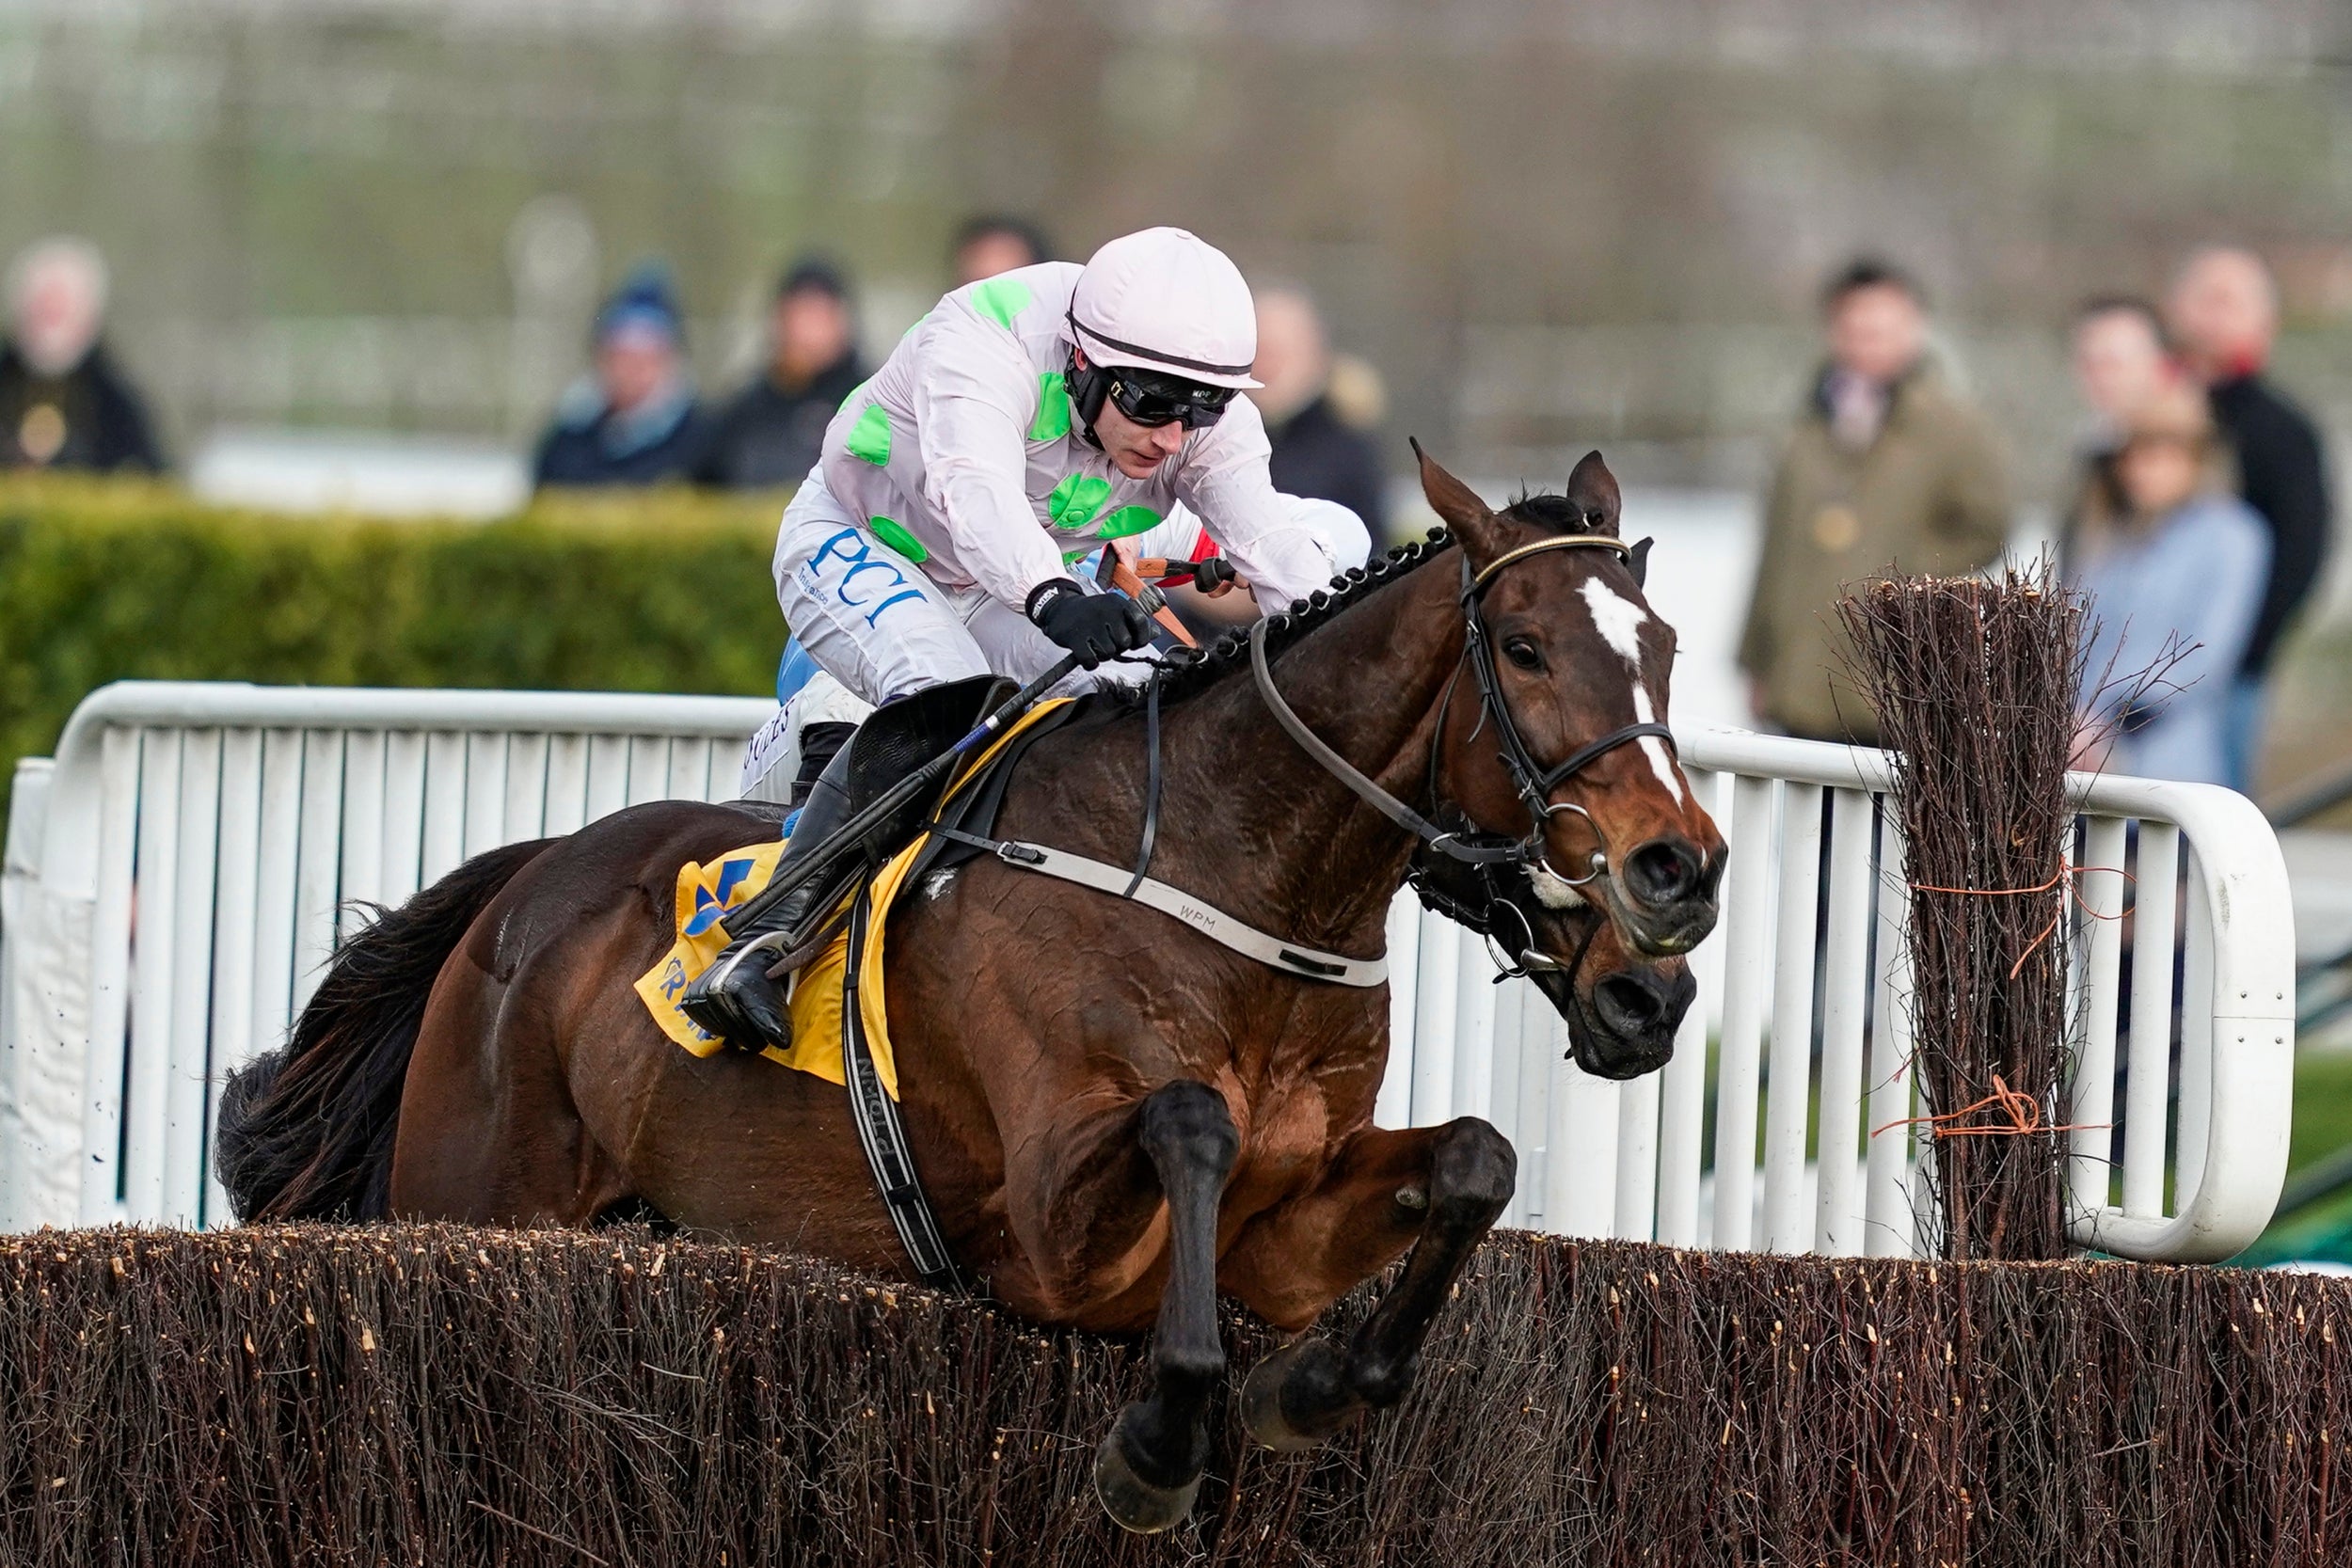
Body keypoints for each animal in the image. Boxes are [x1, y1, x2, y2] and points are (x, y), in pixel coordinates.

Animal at [216, 444, 1731, 1532]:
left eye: (1662, 649)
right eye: (1524, 646)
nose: (1680, 874)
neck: (1235, 875)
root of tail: (527, 879)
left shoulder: (1287, 1237)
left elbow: (1476, 1158)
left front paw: (1317, 1386)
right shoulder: (1045, 1228)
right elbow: (1192, 1122)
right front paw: (1160, 1444)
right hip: (468, 1194)